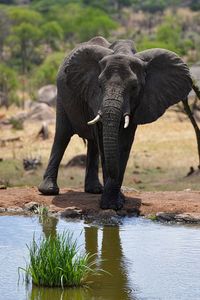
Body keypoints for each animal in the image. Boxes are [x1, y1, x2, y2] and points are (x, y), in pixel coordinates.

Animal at [37, 36, 192, 210]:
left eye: (134, 87)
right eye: (99, 85)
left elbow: (124, 142)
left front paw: (115, 202)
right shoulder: (94, 96)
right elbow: (104, 138)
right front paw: (112, 203)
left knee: (93, 143)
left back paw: (95, 190)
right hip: (62, 97)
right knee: (63, 136)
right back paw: (49, 190)